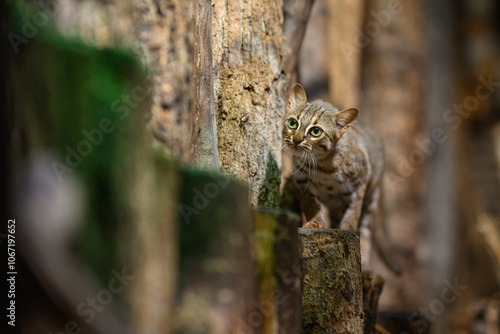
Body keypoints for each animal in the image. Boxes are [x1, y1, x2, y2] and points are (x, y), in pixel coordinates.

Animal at [284, 83, 400, 274]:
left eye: (316, 131)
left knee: (366, 231)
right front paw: (315, 223)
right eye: (292, 123)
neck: (322, 166)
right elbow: (311, 204)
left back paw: (364, 265)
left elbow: (353, 214)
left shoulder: (360, 183)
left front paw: (347, 229)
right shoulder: (301, 182)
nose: (296, 140)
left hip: (371, 201)